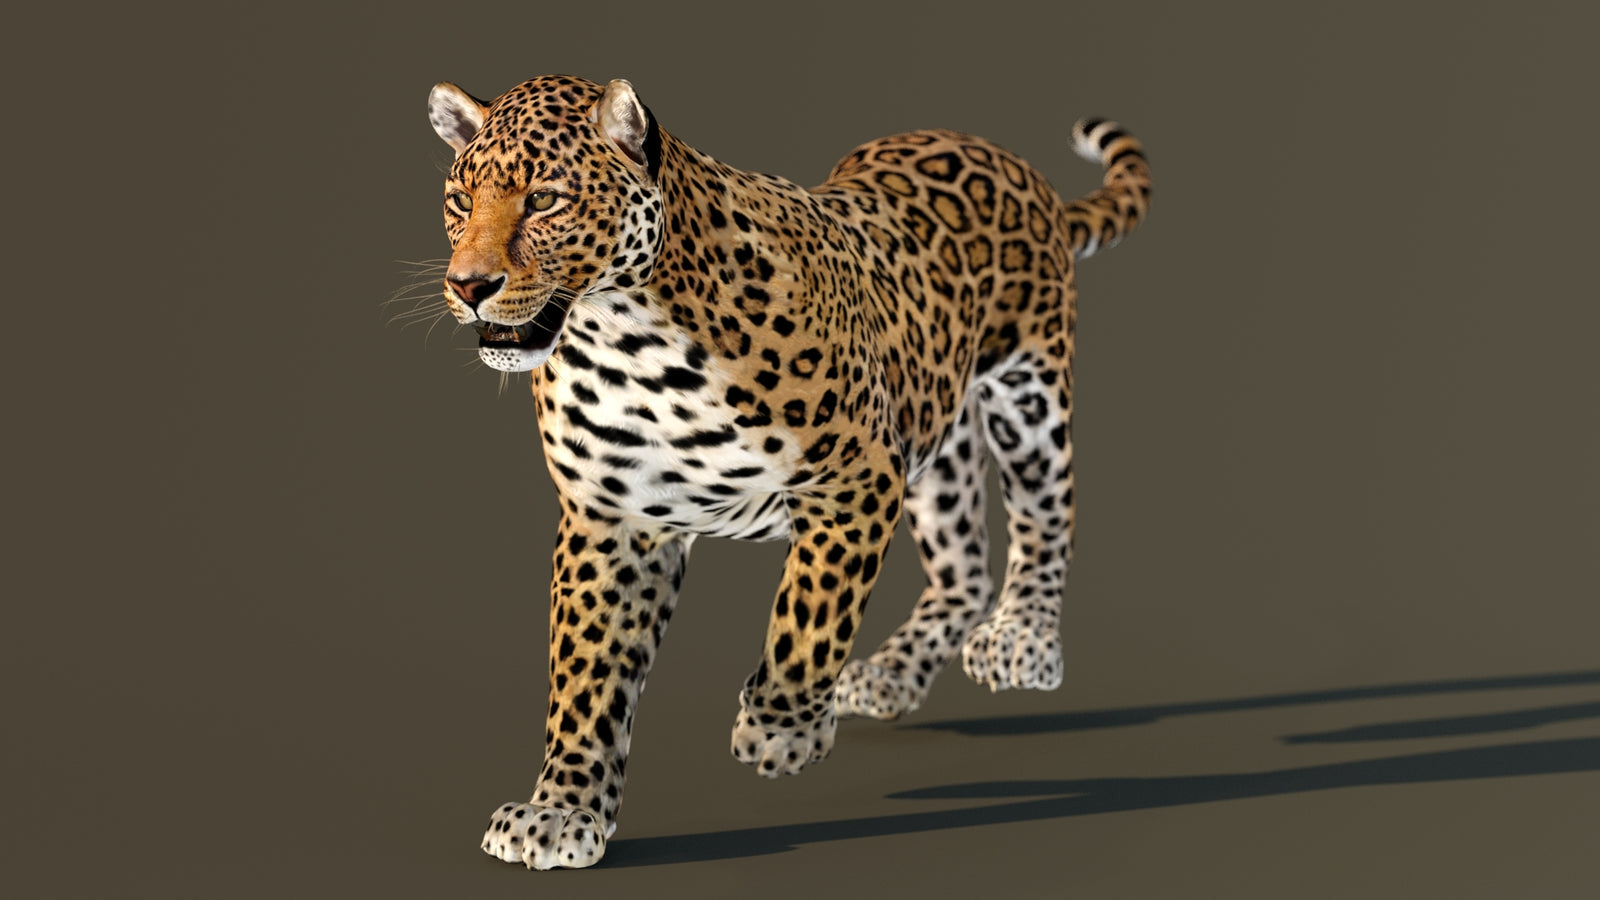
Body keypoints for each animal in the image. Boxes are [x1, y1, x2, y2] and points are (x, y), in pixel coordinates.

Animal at [420, 73, 1151, 869]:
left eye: (546, 199)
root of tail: (1009, 159)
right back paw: (891, 674)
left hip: (1028, 397)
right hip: (934, 433)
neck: (626, 339)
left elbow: (810, 612)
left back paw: (1023, 641)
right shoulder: (612, 518)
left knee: (1047, 520)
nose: (469, 286)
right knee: (964, 566)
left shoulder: (857, 476)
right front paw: (561, 810)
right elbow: (587, 674)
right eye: (459, 199)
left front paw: (781, 730)